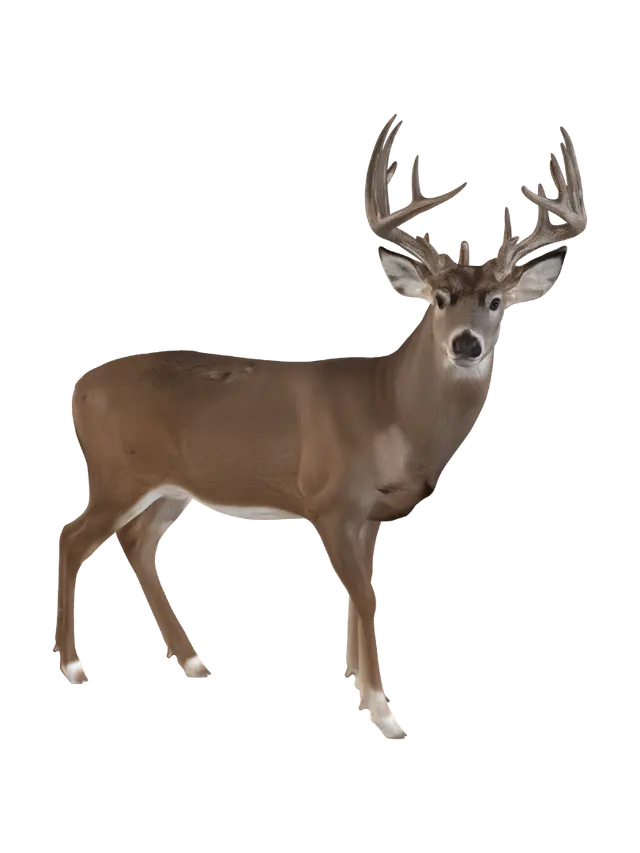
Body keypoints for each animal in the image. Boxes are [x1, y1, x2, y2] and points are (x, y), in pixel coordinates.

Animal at [55, 113, 588, 742]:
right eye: (438, 298)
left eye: (498, 301)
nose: (466, 344)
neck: (392, 412)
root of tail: (79, 388)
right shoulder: (329, 502)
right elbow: (365, 598)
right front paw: (386, 711)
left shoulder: (367, 516)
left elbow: (360, 600)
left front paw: (360, 691)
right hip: (116, 474)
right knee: (73, 538)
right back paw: (73, 667)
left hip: (172, 487)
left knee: (136, 541)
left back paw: (193, 660)